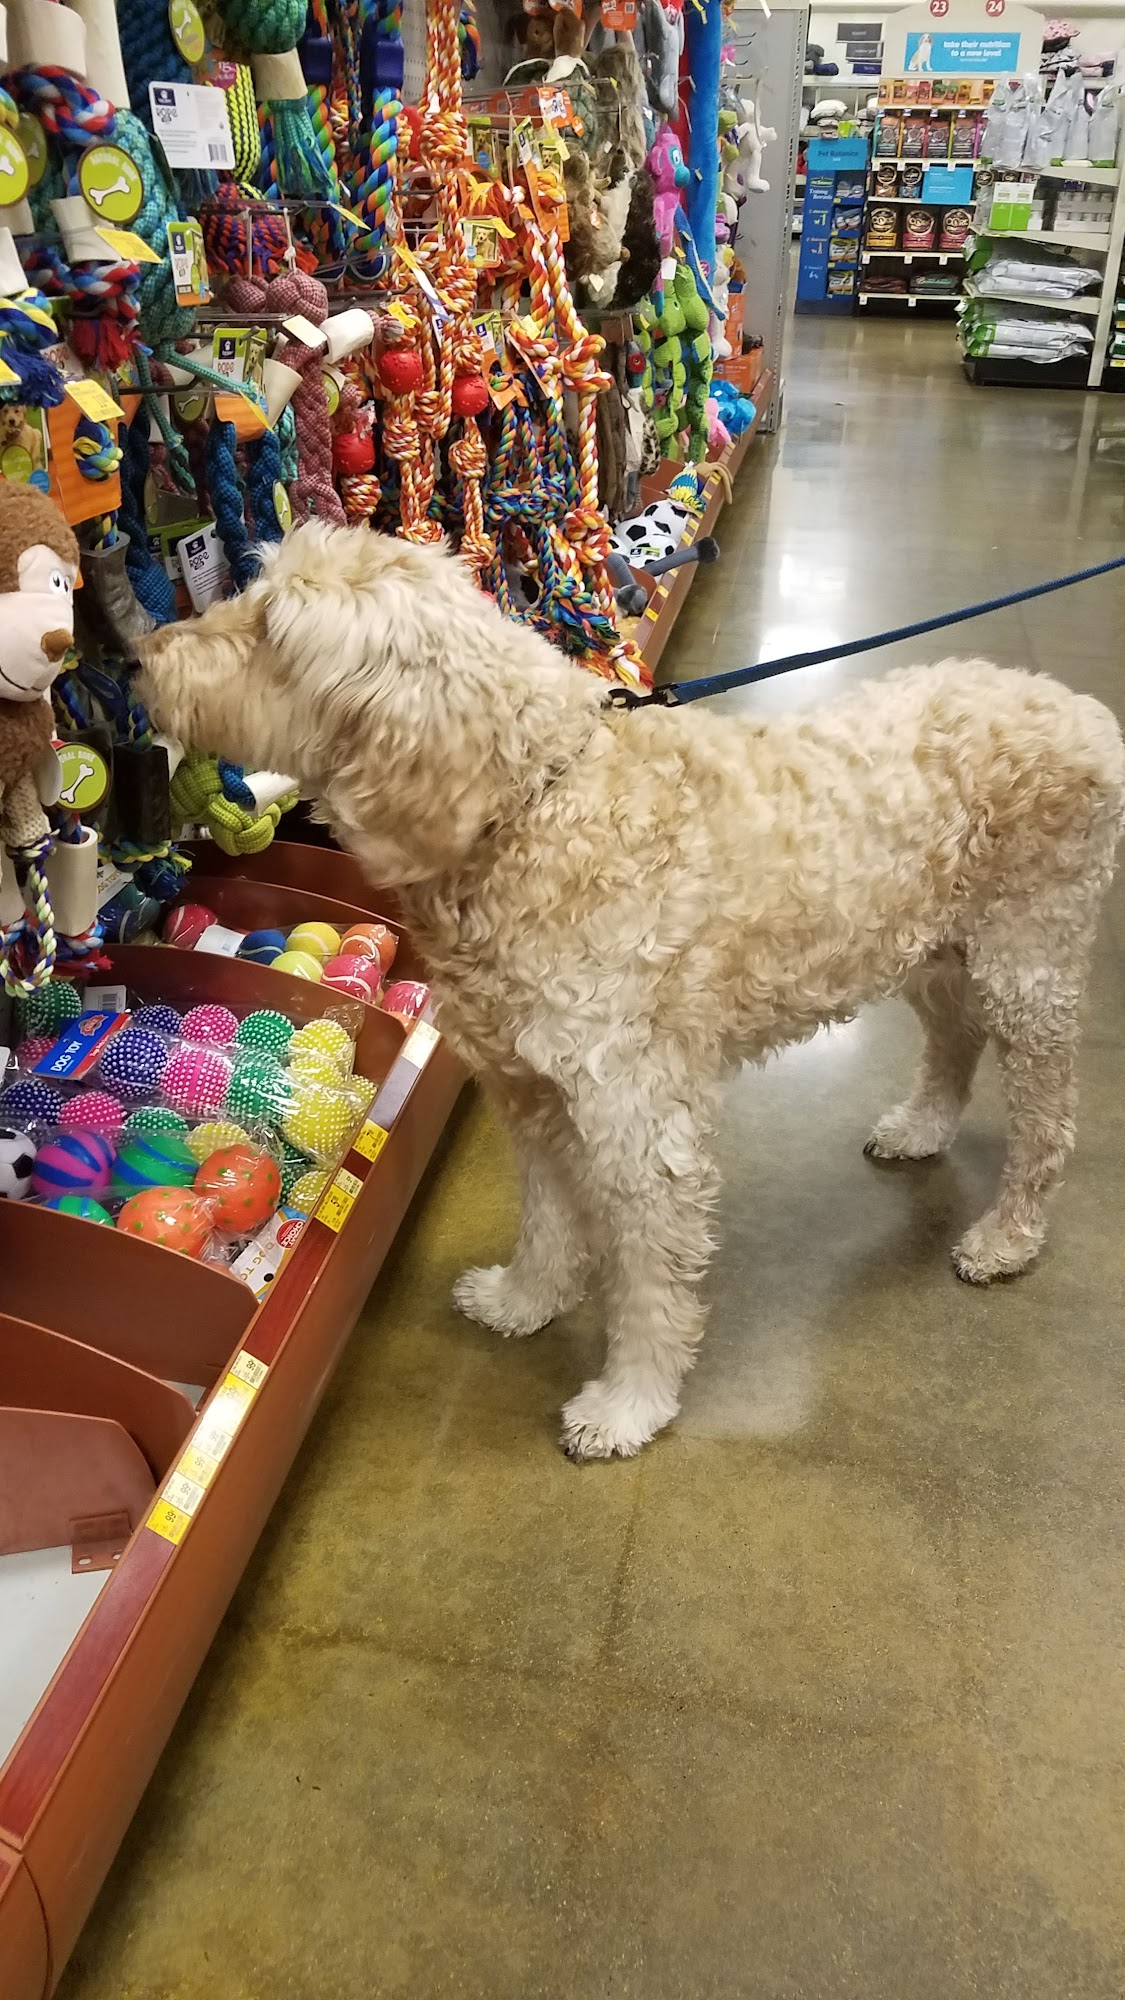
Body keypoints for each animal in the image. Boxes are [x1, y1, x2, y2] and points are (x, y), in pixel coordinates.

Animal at [140, 526, 1125, 1461]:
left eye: (273, 632)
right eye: (252, 592)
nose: (145, 651)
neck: (532, 808)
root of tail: (1079, 711)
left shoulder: (640, 1127)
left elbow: (649, 1282)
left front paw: (630, 1403)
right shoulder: (529, 1093)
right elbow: (546, 1216)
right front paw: (527, 1296)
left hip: (1028, 968)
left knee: (1046, 1126)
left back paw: (1008, 1236)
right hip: (936, 955)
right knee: (953, 1042)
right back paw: (923, 1126)